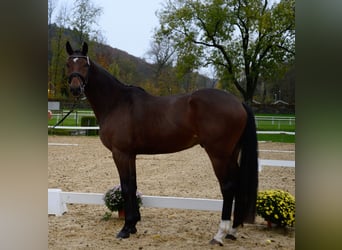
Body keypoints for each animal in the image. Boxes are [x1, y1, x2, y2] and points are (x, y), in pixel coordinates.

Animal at [65, 42, 258, 245]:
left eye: (85, 65)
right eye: (68, 64)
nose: (75, 88)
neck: (117, 102)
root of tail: (238, 102)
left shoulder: (120, 153)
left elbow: (125, 187)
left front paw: (125, 229)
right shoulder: (130, 154)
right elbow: (132, 185)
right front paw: (133, 225)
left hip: (218, 155)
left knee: (228, 187)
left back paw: (220, 234)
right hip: (232, 153)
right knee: (237, 184)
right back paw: (233, 230)